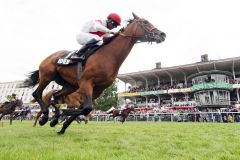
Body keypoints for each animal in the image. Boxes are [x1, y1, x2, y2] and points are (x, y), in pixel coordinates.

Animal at [22, 12, 166, 134]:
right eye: (145, 22)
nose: (162, 34)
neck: (109, 56)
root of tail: (49, 57)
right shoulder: (86, 82)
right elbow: (86, 108)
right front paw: (64, 114)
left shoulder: (98, 89)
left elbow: (84, 109)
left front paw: (62, 125)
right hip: (47, 76)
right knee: (37, 94)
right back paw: (45, 116)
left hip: (70, 85)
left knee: (56, 97)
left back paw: (54, 117)